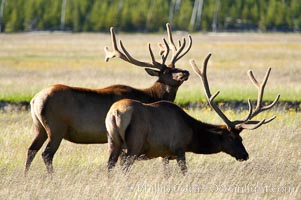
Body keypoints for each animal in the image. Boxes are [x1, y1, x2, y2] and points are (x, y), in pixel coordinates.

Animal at [24, 23, 191, 175]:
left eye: (175, 67)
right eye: (167, 72)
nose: (186, 72)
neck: (150, 96)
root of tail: (34, 100)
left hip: (39, 126)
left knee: (31, 149)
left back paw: (26, 175)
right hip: (56, 127)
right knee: (46, 154)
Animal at [105, 53, 278, 175]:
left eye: (242, 138)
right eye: (232, 138)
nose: (245, 155)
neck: (191, 135)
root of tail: (116, 113)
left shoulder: (163, 154)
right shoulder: (178, 148)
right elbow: (184, 172)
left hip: (113, 142)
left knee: (109, 165)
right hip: (134, 143)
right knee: (124, 166)